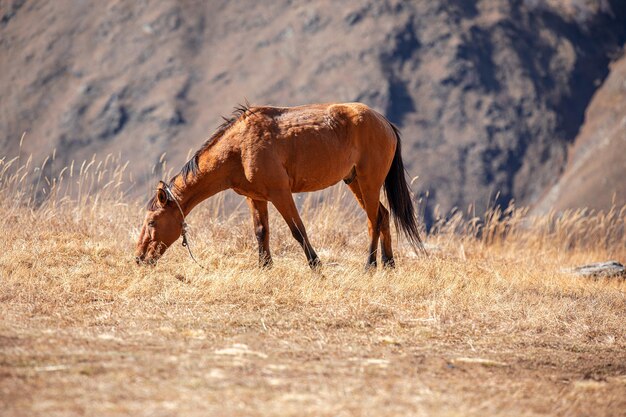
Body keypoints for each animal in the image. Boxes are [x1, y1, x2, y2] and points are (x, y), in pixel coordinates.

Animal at [134, 102, 422, 268]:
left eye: (152, 223)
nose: (139, 259)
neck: (239, 148)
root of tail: (385, 123)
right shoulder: (256, 197)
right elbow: (261, 232)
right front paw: (265, 267)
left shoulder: (281, 194)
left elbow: (298, 230)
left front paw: (316, 266)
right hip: (354, 182)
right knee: (383, 215)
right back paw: (389, 264)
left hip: (368, 181)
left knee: (374, 219)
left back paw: (370, 265)